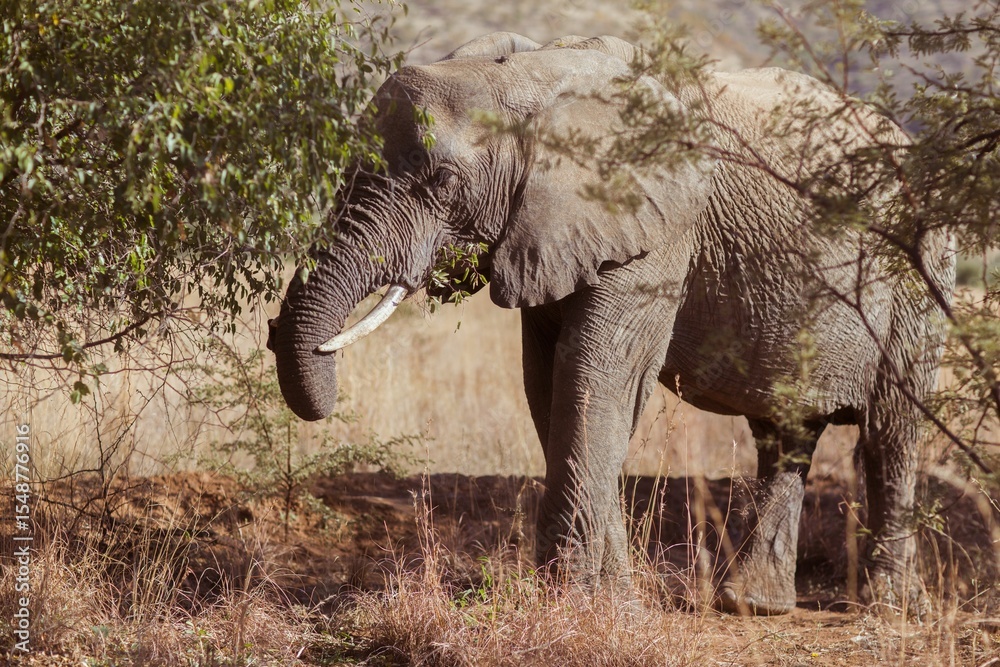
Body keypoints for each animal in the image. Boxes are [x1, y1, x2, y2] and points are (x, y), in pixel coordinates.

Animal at [267, 31, 956, 615]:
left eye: (442, 182)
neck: (531, 75)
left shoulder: (661, 232)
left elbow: (596, 377)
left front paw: (576, 604)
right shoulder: (550, 231)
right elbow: (549, 385)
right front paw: (613, 602)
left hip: (921, 275)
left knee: (892, 431)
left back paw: (889, 609)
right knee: (786, 434)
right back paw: (755, 606)